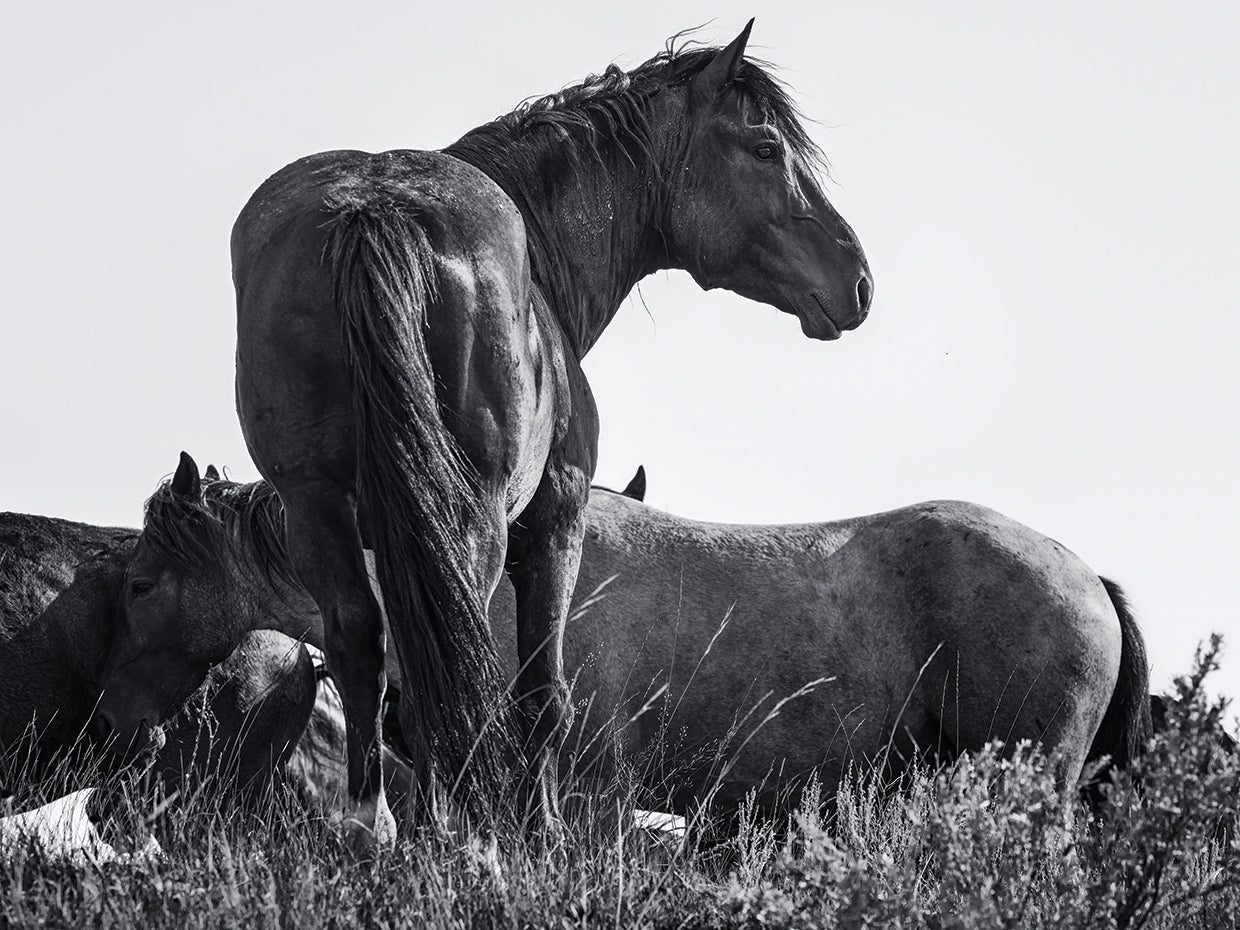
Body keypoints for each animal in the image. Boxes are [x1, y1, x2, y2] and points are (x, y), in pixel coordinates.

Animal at [94, 22, 873, 840]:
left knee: (363, 644)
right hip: (473, 520)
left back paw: (375, 826)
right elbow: (540, 694)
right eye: (764, 148)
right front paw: (542, 831)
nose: (857, 279)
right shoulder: (557, 517)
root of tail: (373, 211)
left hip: (318, 507)